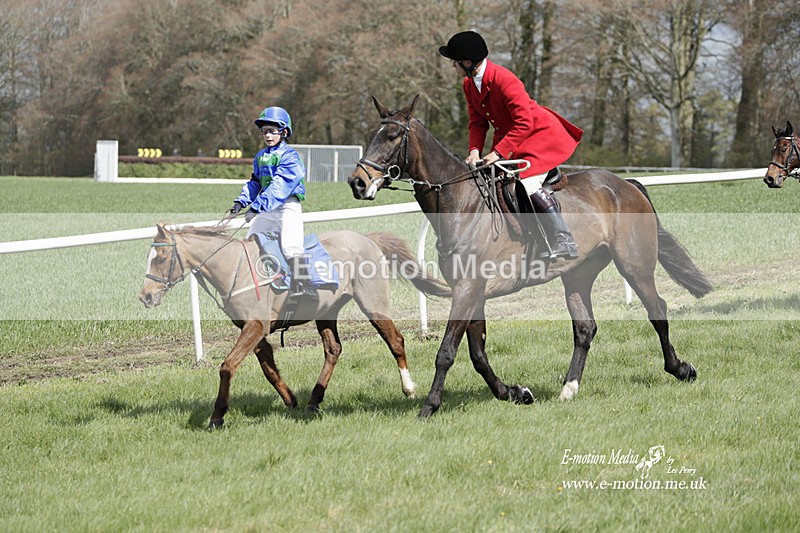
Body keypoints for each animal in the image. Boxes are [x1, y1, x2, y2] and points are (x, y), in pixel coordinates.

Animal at [139, 223, 451, 428]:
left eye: (162, 258)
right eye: (149, 257)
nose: (146, 296)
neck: (235, 268)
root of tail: (367, 238)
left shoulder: (255, 326)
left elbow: (227, 366)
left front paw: (217, 417)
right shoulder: (253, 330)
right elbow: (269, 369)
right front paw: (292, 401)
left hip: (373, 303)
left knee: (395, 340)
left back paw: (408, 388)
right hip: (327, 311)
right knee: (333, 350)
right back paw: (314, 400)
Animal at [348, 95, 713, 418]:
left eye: (392, 137)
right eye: (372, 137)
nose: (357, 182)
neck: (461, 204)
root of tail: (624, 185)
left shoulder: (467, 290)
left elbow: (447, 352)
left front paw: (429, 406)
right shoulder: (472, 292)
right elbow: (478, 353)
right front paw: (514, 393)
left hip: (634, 265)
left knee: (657, 310)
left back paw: (680, 369)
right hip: (578, 273)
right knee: (585, 328)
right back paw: (569, 388)